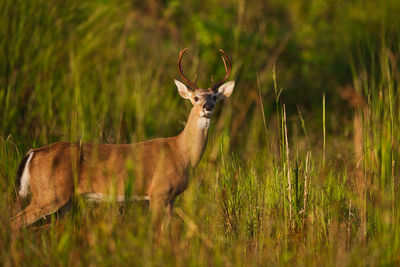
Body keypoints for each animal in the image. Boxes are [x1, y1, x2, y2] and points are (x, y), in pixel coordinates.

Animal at [10, 48, 234, 232]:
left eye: (214, 97)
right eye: (196, 98)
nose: (207, 107)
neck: (181, 152)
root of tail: (33, 153)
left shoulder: (171, 198)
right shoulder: (158, 191)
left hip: (63, 201)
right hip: (48, 194)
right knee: (14, 223)